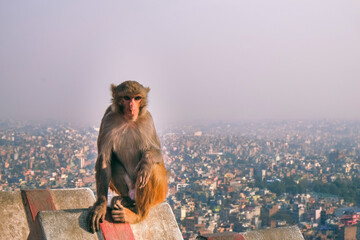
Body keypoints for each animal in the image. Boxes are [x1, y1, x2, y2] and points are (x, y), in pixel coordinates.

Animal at [88, 80, 168, 232]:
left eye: (137, 98)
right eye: (126, 98)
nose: (132, 107)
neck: (128, 120)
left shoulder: (148, 120)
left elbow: (157, 152)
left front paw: (146, 162)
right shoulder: (108, 119)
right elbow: (104, 159)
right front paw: (101, 204)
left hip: (160, 193)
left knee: (152, 171)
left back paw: (138, 214)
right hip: (131, 188)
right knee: (112, 162)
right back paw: (126, 200)